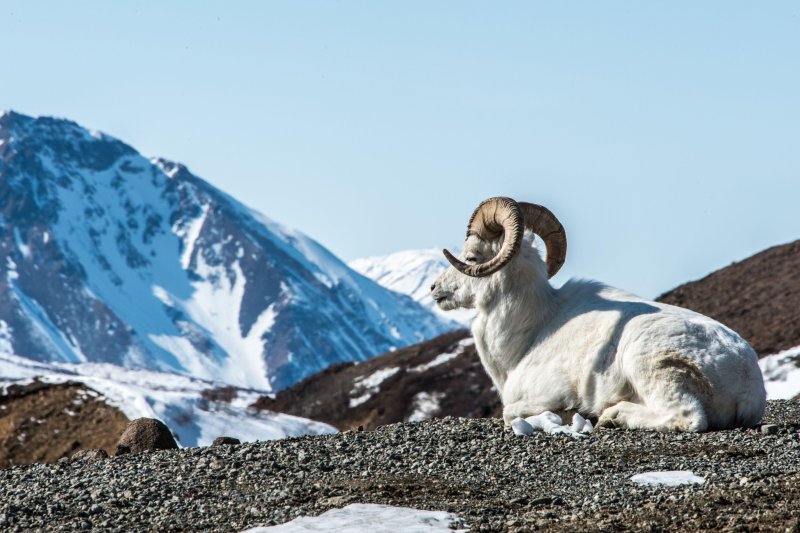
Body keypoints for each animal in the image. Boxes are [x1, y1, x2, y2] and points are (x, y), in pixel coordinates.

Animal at [434, 197, 764, 430]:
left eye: (471, 257)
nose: (435, 289)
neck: (531, 333)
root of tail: (747, 380)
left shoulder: (541, 395)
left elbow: (508, 413)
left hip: (650, 365)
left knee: (686, 417)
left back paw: (611, 416)